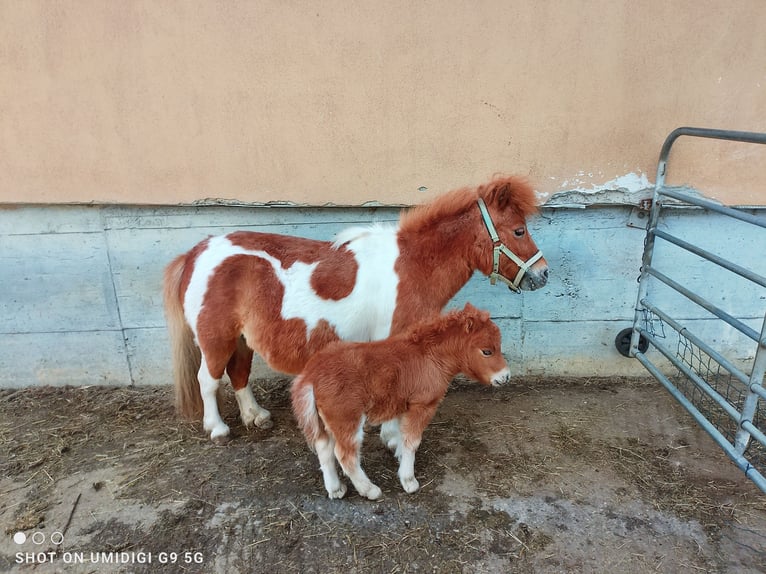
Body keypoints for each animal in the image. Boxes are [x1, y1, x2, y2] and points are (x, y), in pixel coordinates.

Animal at [163, 175, 548, 443]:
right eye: (519, 230)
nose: (543, 275)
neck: (413, 264)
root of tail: (195, 252)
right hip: (216, 339)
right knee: (208, 380)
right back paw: (218, 429)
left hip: (242, 339)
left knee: (239, 374)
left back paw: (255, 416)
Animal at [291, 303, 509, 500]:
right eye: (487, 351)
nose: (506, 376)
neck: (430, 356)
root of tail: (311, 375)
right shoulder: (422, 405)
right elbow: (412, 441)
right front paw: (408, 480)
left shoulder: (401, 403)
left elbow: (399, 435)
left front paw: (398, 455)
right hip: (347, 419)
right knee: (345, 455)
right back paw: (370, 490)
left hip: (325, 420)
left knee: (324, 448)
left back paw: (336, 490)